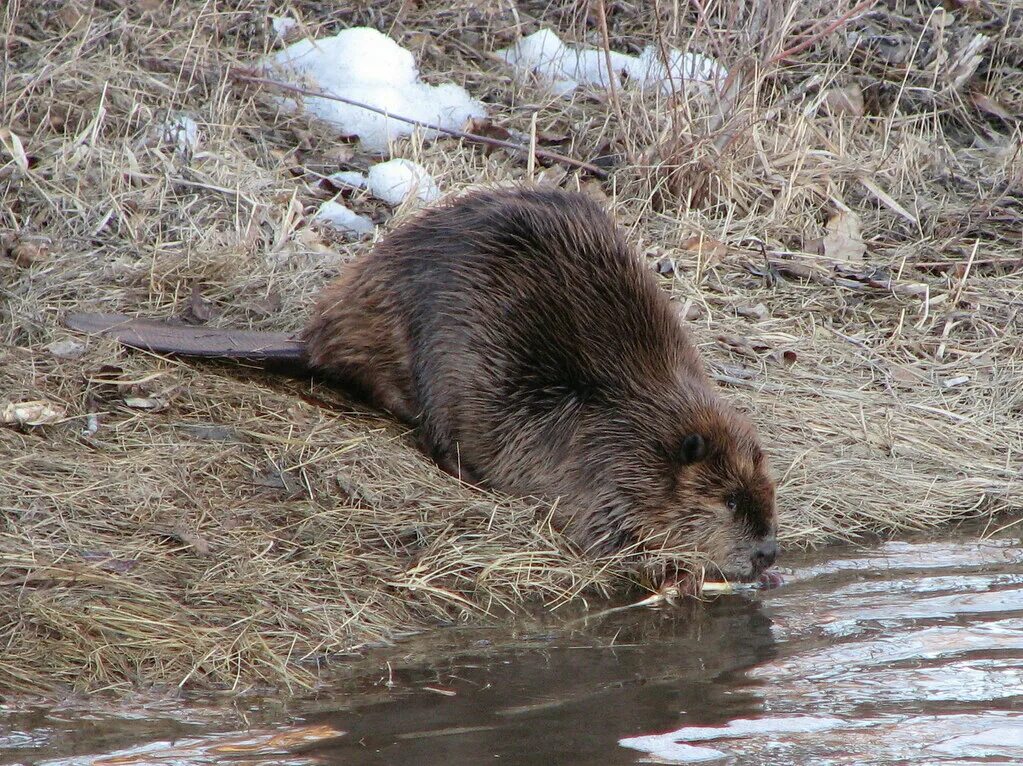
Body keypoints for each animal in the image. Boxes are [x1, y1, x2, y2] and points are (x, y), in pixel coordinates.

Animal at [68, 188, 777, 580]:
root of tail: (313, 340)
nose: (769, 555)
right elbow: (602, 523)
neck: (637, 411)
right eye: (729, 502)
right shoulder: (597, 457)